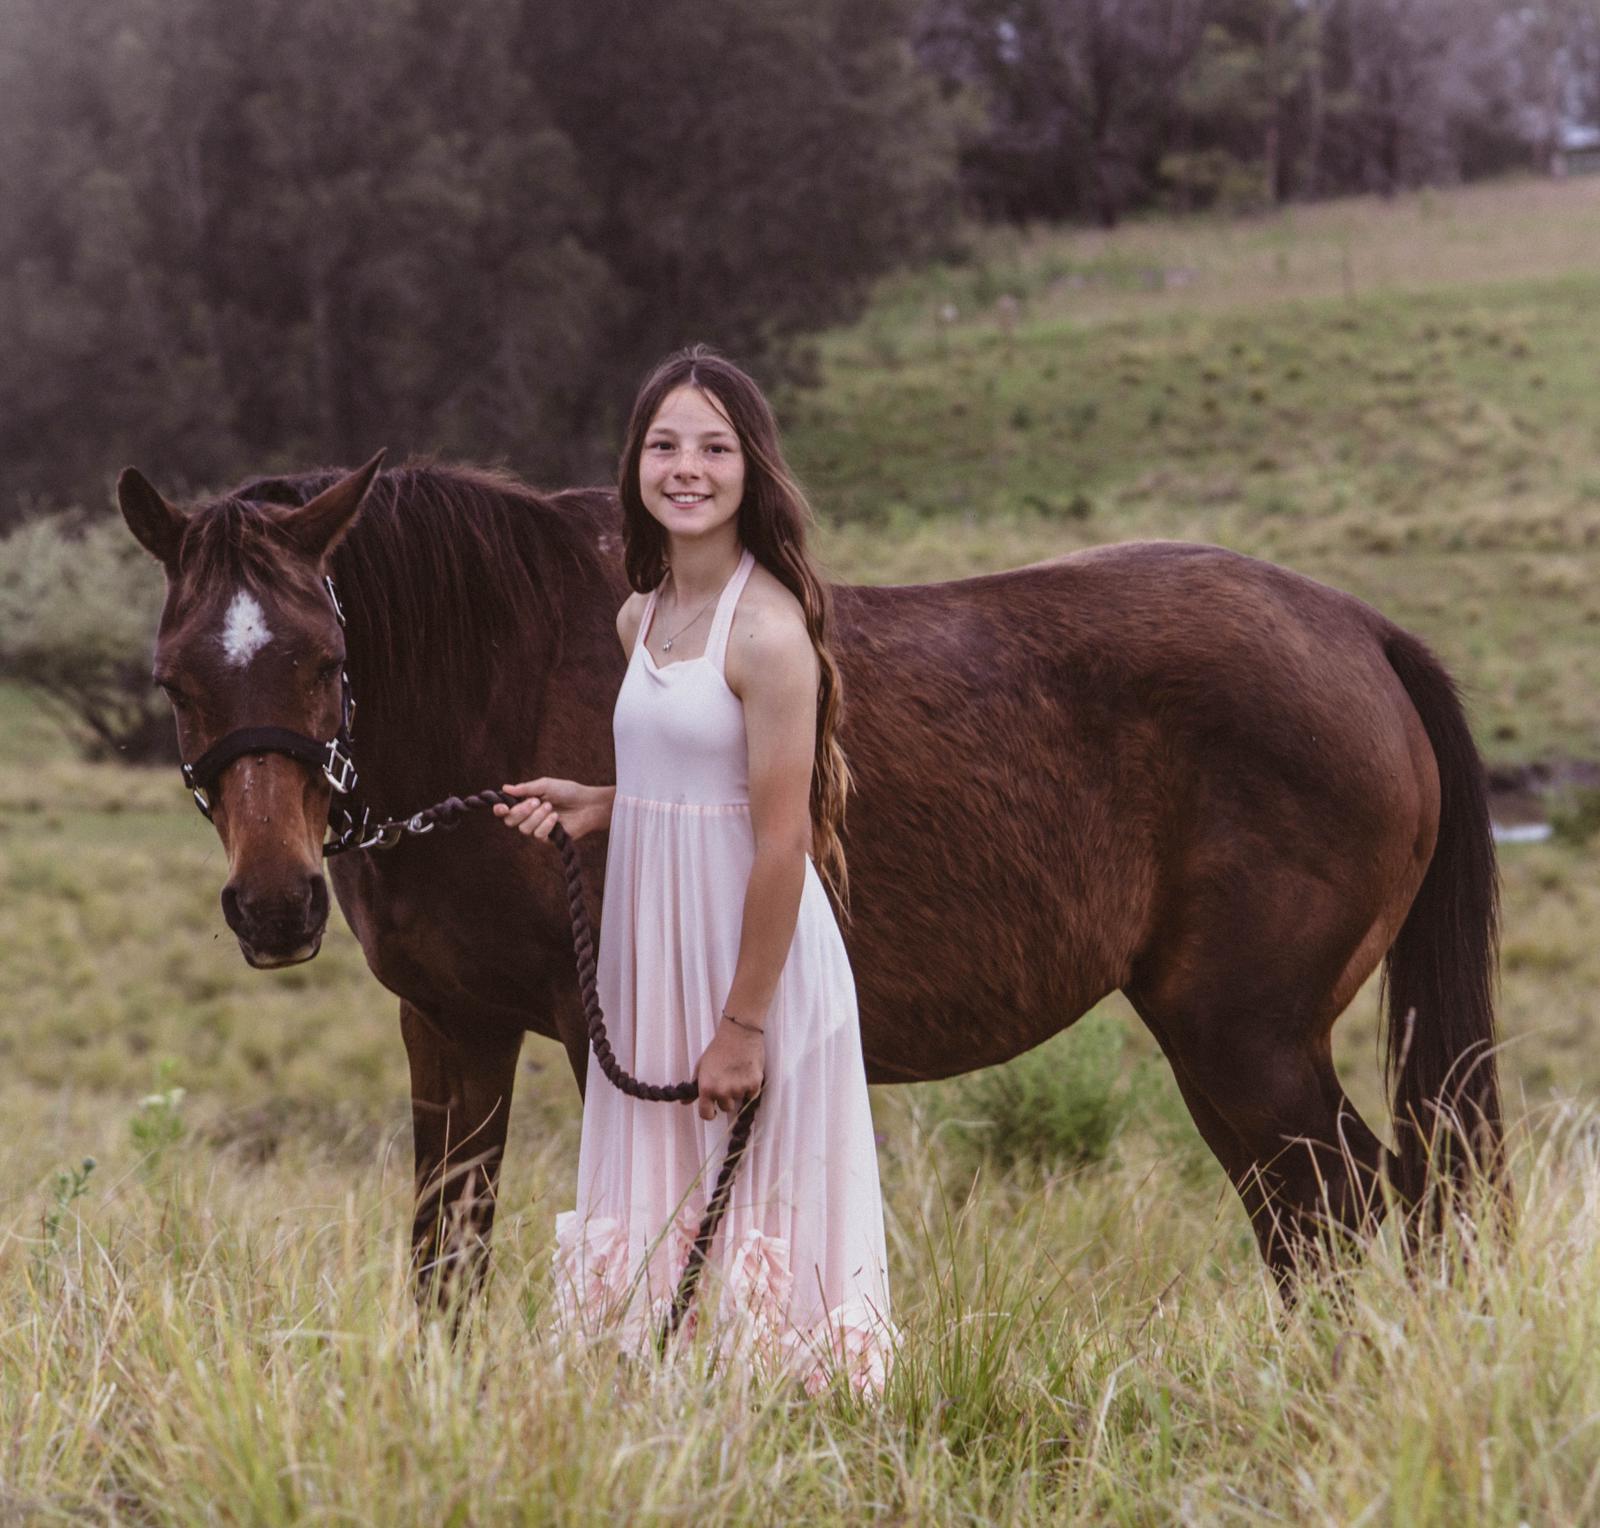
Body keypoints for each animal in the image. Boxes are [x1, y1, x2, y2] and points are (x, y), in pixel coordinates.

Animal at [112, 460, 1497, 1299]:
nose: (273, 903)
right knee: (1324, 1216)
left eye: (322, 656)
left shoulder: (611, 1038)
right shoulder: (449, 1030)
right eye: (176, 675)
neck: (495, 679)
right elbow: (444, 1254)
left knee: (1347, 1208)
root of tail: (1359, 634)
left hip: (1245, 1038)